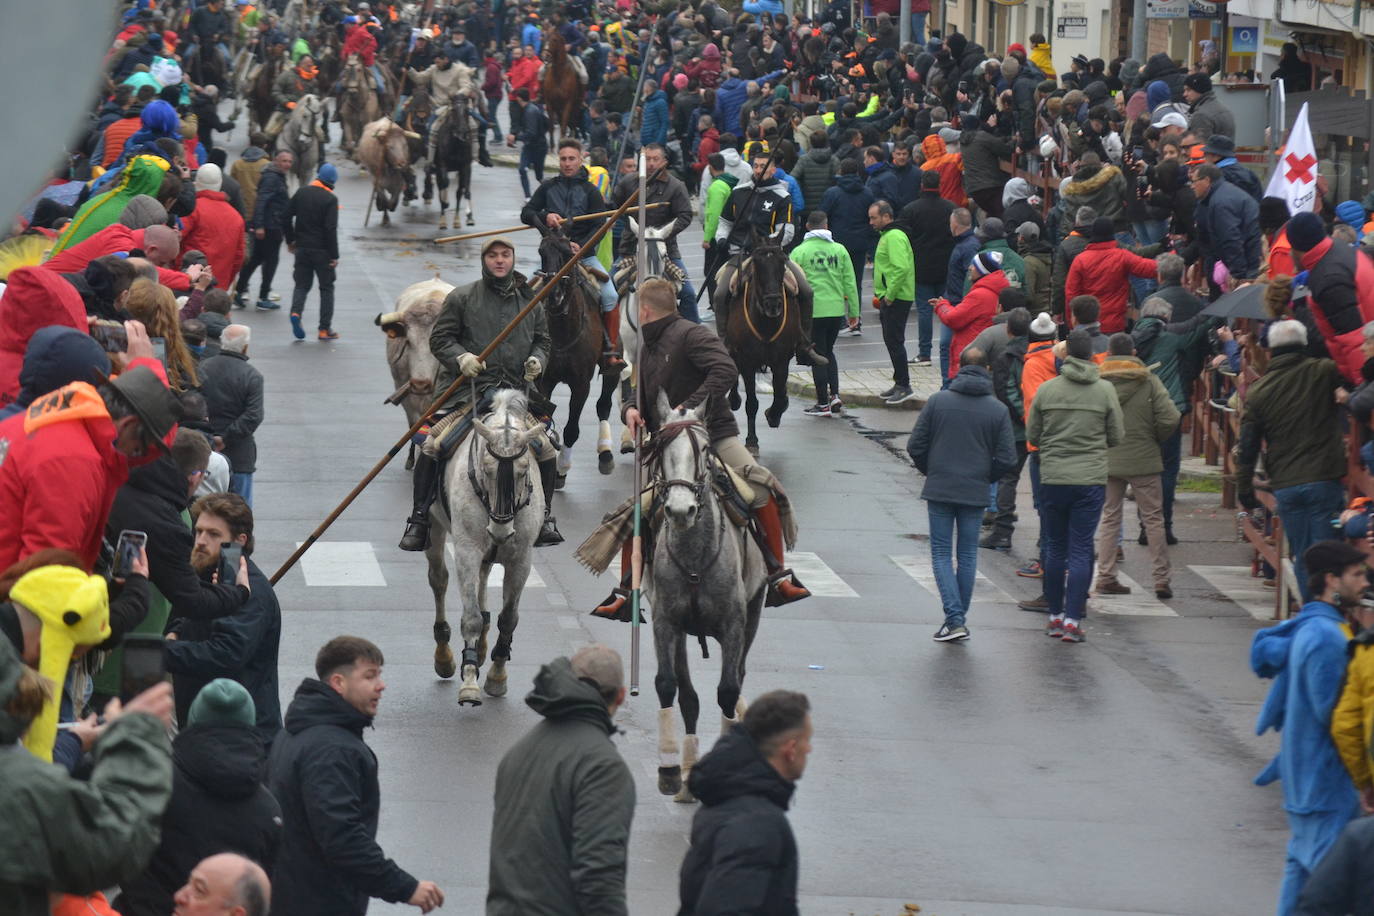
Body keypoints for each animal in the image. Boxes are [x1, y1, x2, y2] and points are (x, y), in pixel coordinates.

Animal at [425, 390, 544, 708]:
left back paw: (480, 652)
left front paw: (497, 675)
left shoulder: (521, 558)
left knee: (483, 579)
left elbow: (508, 619)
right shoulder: (467, 550)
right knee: (439, 581)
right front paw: (469, 681)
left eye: (523, 471)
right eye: (486, 469)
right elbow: (471, 618)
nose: (500, 531)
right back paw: (445, 656)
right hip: (434, 527)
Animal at [645, 395, 769, 802]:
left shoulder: (734, 625)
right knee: (688, 696)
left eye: (703, 451)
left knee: (738, 679)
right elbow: (669, 686)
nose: (680, 510)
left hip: (754, 614)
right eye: (660, 449)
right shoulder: (665, 622)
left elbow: (728, 691)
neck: (695, 557)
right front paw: (670, 771)